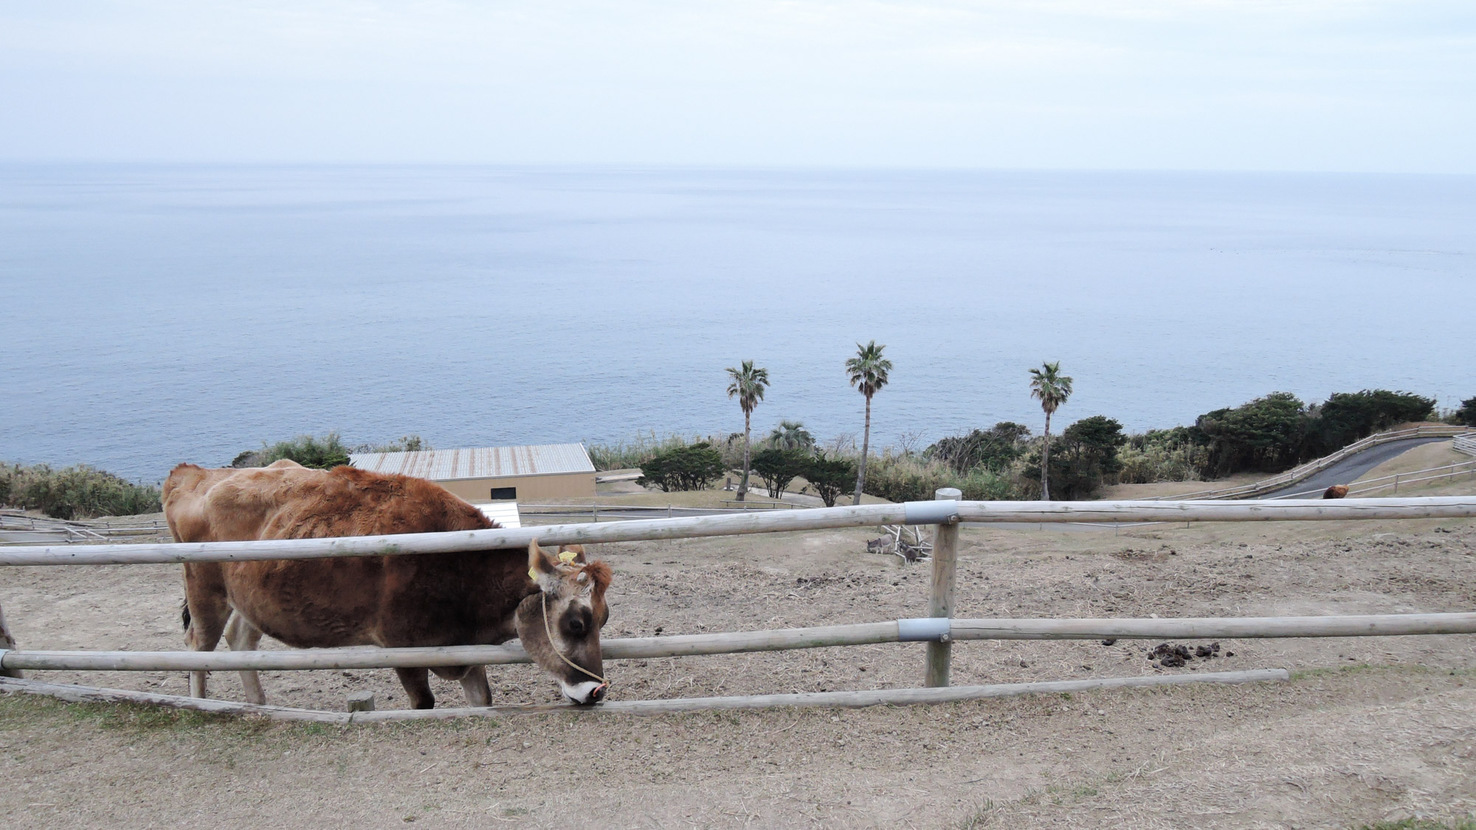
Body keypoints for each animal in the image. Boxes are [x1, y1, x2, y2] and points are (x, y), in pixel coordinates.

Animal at [164, 457, 614, 702]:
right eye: (576, 623)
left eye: (604, 618)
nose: (597, 691)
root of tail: (192, 474)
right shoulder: (402, 649)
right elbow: (424, 702)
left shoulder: (464, 651)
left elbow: (482, 700)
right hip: (203, 588)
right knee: (197, 649)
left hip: (248, 599)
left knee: (239, 641)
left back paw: (258, 704)